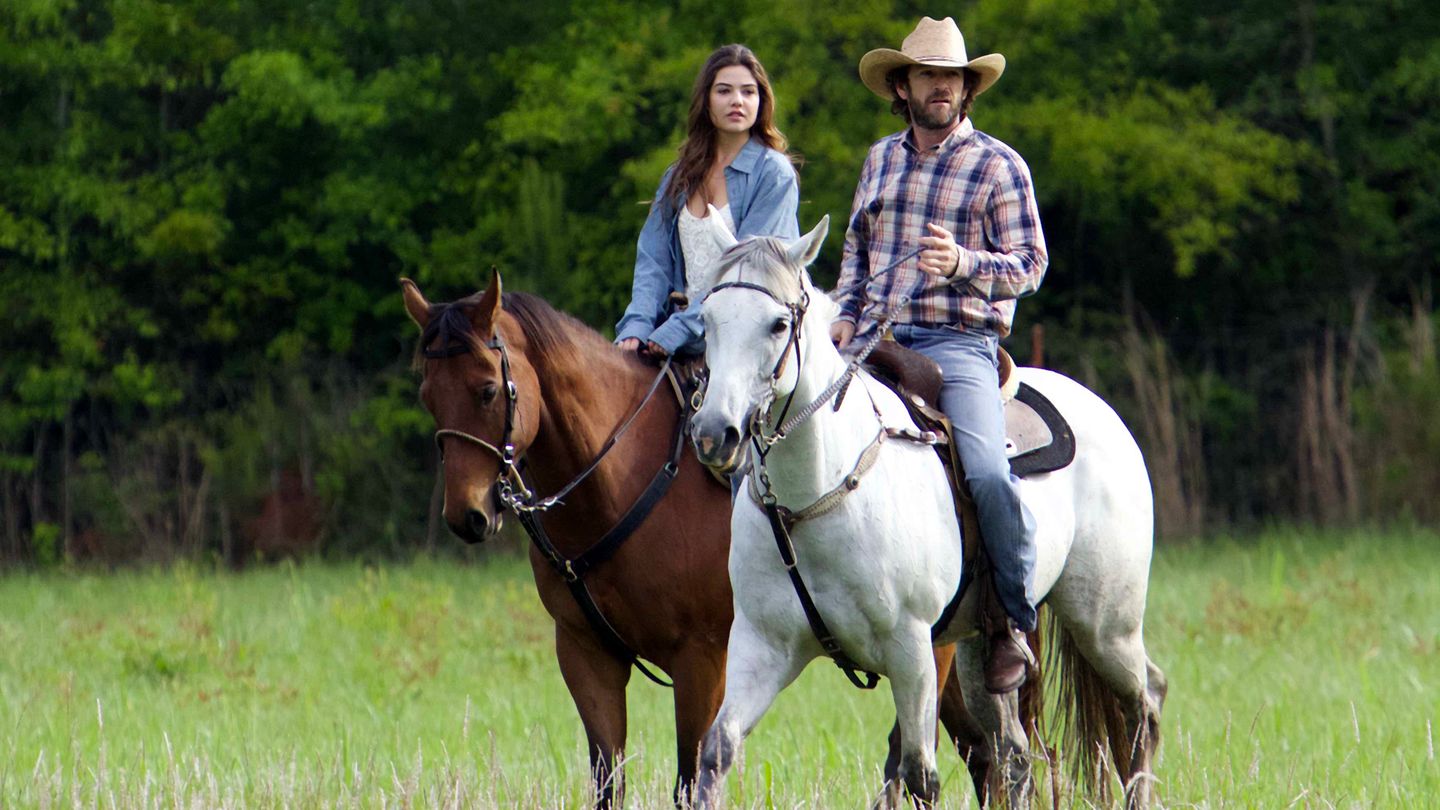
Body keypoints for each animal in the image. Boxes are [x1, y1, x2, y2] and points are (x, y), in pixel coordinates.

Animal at [688, 216, 1169, 807]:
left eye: (779, 324)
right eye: (707, 319)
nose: (714, 433)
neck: (819, 494)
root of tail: (1102, 410)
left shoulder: (911, 651)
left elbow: (918, 772)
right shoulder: (762, 647)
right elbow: (718, 749)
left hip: (1105, 622)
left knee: (1145, 702)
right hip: (985, 646)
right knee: (1014, 753)